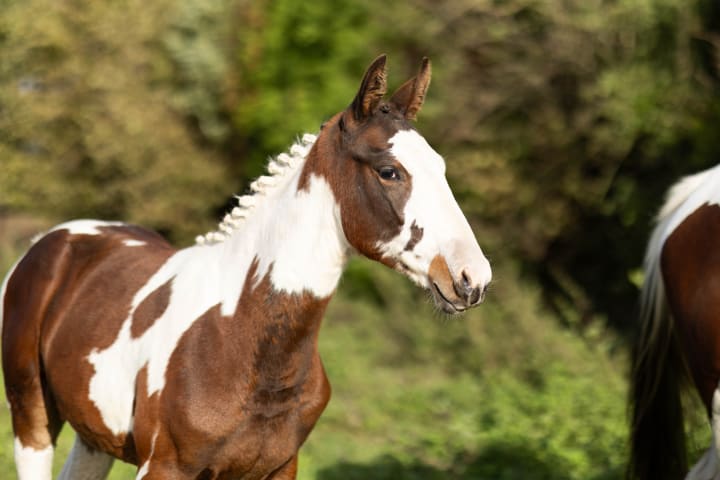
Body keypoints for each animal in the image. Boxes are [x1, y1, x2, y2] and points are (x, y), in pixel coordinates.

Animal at [0, 55, 492, 480]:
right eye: (390, 171)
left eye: (441, 167)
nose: (472, 278)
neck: (240, 336)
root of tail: (53, 240)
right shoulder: (164, 468)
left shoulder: (278, 469)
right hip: (31, 418)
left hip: (94, 437)